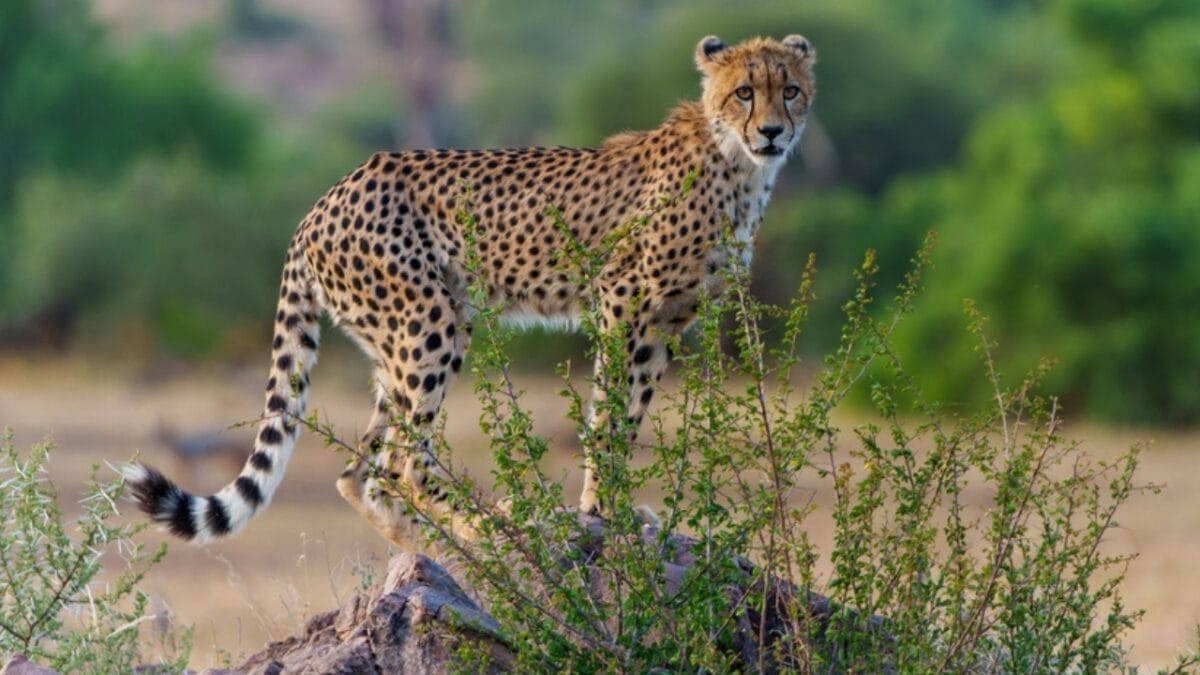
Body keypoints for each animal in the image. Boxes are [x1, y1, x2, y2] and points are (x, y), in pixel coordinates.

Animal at [124, 33, 817, 545]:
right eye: (744, 93)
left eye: (790, 91)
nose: (772, 132)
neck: (736, 166)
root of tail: (324, 198)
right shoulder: (621, 302)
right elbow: (606, 417)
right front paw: (599, 510)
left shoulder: (664, 324)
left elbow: (630, 417)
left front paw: (617, 511)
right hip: (431, 320)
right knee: (405, 461)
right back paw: (492, 523)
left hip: (406, 338)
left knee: (363, 472)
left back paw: (437, 551)